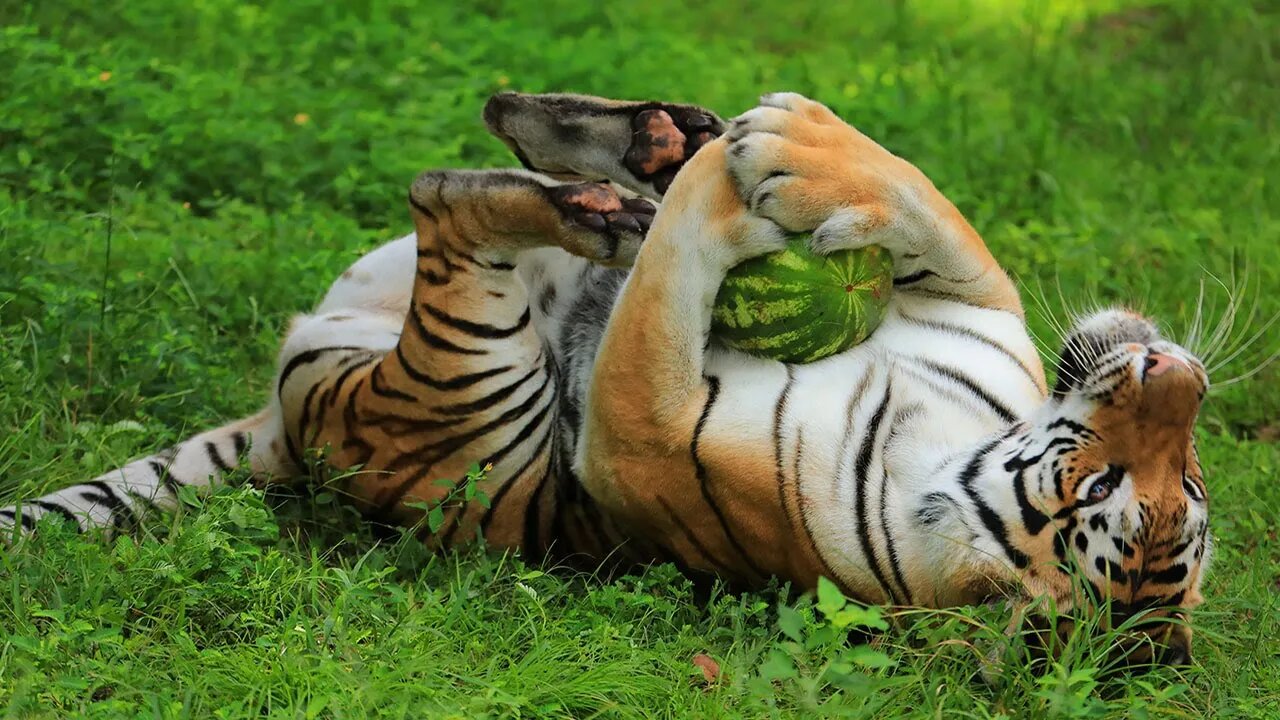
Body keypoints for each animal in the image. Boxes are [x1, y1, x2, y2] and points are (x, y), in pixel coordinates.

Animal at [0, 92, 1203, 666]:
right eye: (1186, 481)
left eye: (1107, 494)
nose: (1172, 371)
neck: (948, 439)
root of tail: (282, 429)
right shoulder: (975, 313)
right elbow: (928, 206)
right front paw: (803, 144)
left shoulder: (642, 432)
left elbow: (676, 272)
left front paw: (740, 164)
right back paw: (630, 135)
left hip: (460, 386)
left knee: (449, 200)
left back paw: (608, 186)